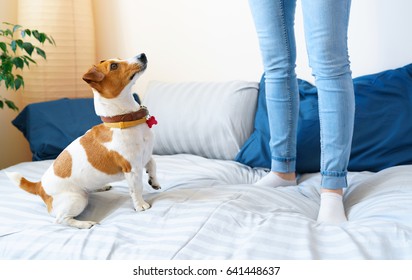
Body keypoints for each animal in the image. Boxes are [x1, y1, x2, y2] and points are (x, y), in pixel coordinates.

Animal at [6, 53, 161, 229]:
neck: (123, 120)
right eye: (114, 66)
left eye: (119, 59)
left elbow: (153, 164)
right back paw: (85, 224)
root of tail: (39, 186)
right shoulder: (132, 168)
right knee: (60, 220)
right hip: (77, 199)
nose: (142, 55)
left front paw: (153, 181)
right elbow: (137, 188)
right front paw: (140, 205)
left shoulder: (145, 156)